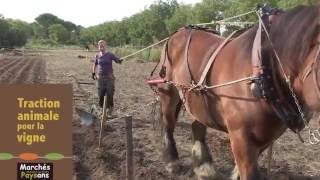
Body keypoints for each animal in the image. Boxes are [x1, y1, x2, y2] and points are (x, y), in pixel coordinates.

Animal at [153, 4, 320, 180]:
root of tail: (177, 33)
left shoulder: (265, 137)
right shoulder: (241, 138)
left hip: (195, 98)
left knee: (198, 126)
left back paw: (204, 167)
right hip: (169, 92)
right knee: (168, 124)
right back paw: (172, 162)